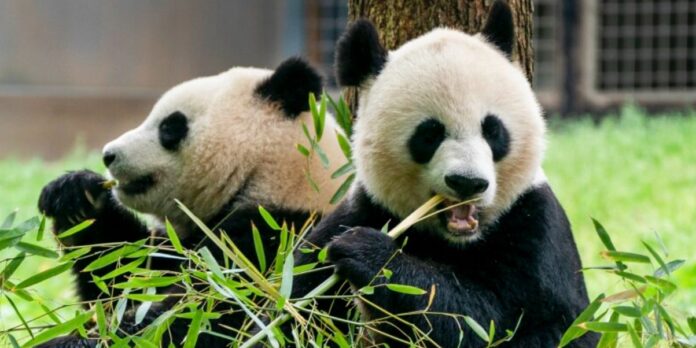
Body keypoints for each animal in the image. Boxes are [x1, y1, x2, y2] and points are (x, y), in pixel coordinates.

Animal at [288, 3, 600, 348]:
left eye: (493, 130)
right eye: (429, 134)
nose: (467, 182)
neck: (454, 240)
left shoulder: (535, 229)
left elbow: (487, 321)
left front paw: (369, 253)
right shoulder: (367, 208)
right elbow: (298, 297)